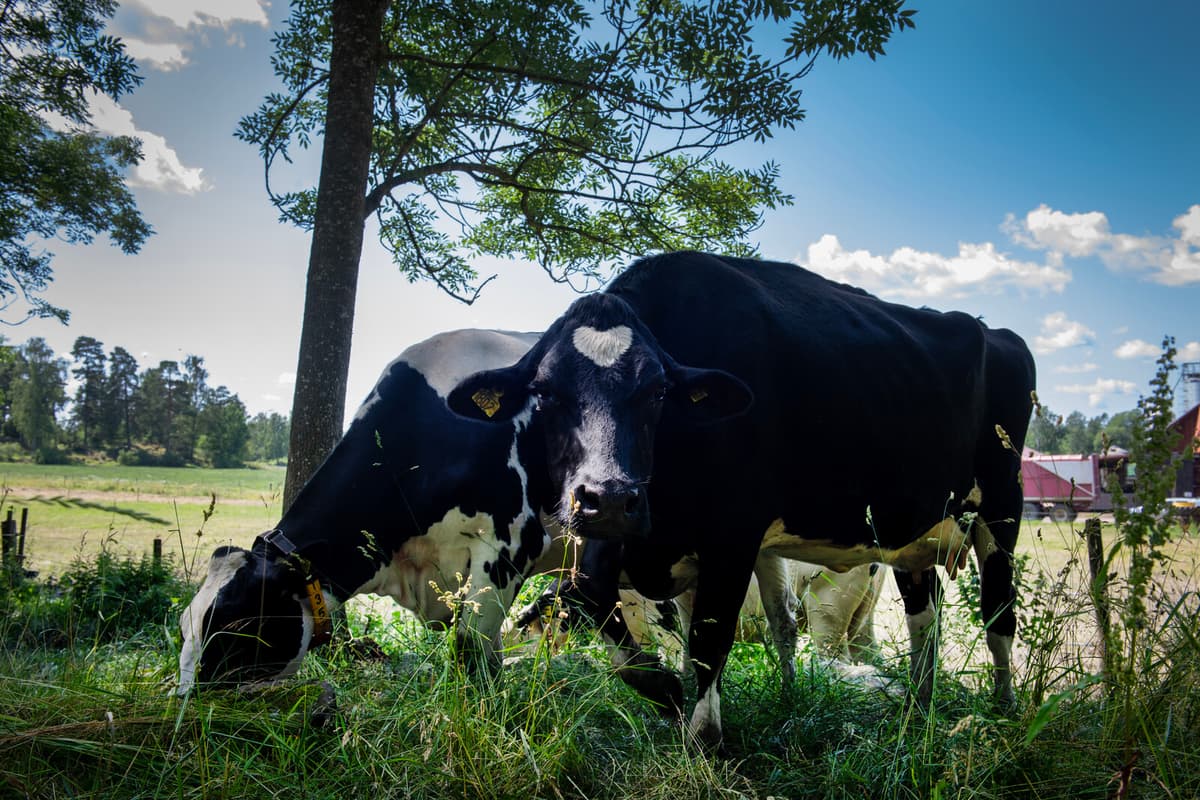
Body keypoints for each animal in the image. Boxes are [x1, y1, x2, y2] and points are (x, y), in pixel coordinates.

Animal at [446, 251, 1036, 748]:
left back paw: (1004, 711)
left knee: (998, 613)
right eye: (544, 393)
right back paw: (919, 707)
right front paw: (666, 691)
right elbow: (593, 597)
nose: (608, 497)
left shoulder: (732, 535)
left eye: (658, 391)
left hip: (1002, 502)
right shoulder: (624, 540)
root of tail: (994, 330)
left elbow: (708, 642)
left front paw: (704, 740)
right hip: (910, 532)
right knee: (922, 618)